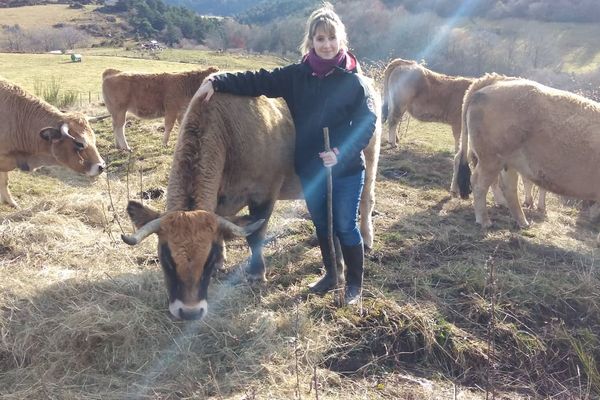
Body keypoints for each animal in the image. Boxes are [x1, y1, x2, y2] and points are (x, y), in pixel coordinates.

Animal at [122, 86, 382, 320]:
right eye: (166, 258)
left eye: (207, 260)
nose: (189, 312)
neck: (227, 133)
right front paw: (223, 261)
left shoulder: (264, 193)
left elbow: (255, 234)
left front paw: (256, 273)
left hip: (369, 160)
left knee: (365, 201)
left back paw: (366, 239)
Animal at [452, 72, 600, 228]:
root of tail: (493, 83)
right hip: (491, 158)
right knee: (479, 183)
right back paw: (485, 220)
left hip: (508, 161)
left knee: (508, 188)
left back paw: (522, 221)